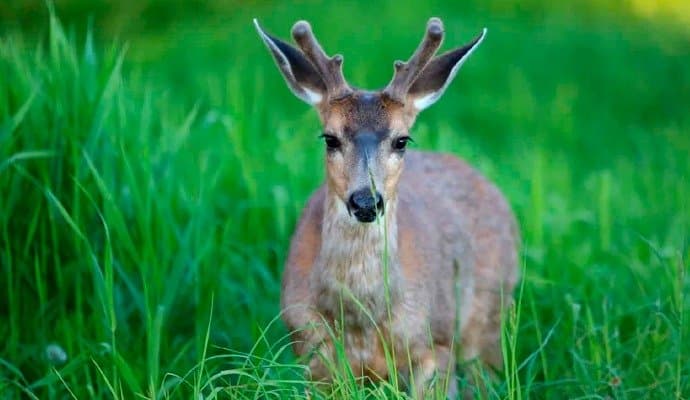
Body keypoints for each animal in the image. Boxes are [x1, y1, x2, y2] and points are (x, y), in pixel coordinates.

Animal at [254, 17, 519, 398]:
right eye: (329, 138)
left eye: (401, 140)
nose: (366, 200)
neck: (361, 322)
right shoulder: (310, 351)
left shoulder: (438, 342)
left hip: (489, 318)